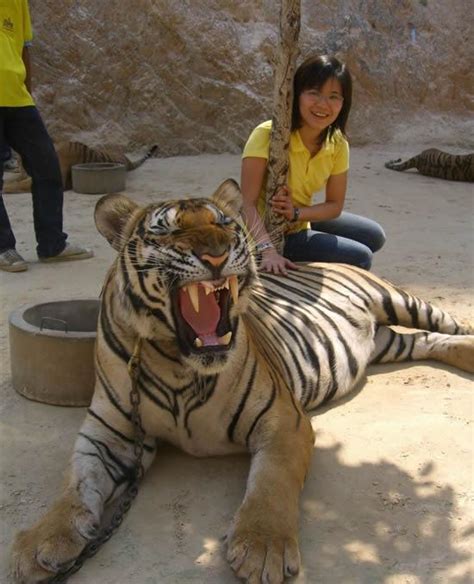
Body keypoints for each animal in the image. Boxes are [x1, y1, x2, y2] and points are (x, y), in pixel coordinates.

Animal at [11, 179, 474, 584]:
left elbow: (271, 482)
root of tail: (333, 262)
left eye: (225, 224)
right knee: (429, 341)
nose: (217, 255)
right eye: (168, 230)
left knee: (449, 323)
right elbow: (73, 485)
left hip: (398, 300)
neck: (179, 364)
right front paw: (39, 543)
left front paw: (263, 547)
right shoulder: (110, 432)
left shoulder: (283, 420)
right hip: (386, 343)